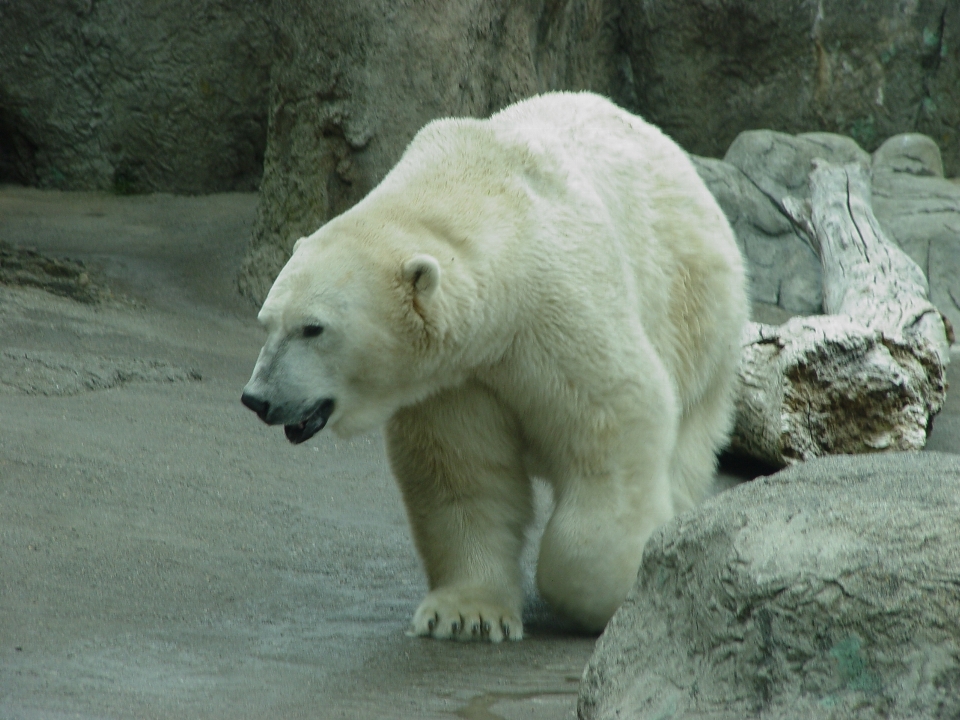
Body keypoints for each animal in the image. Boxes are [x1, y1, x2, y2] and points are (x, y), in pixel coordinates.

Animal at [242, 90, 752, 640]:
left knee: (687, 442)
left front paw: (605, 595)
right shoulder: (455, 378)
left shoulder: (559, 313)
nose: (257, 398)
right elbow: (464, 473)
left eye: (312, 328)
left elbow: (614, 424)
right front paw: (466, 615)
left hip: (696, 313)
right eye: (267, 321)